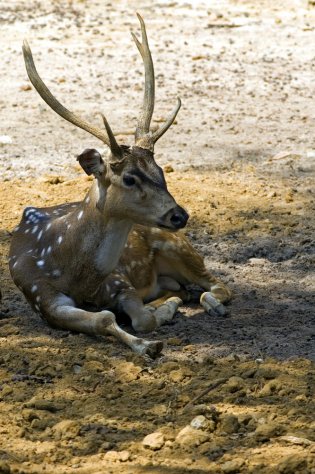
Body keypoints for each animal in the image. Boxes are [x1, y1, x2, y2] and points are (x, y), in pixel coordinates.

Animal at [9, 13, 232, 356]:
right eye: (128, 177)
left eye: (160, 170)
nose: (179, 214)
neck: (78, 277)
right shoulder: (42, 296)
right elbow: (103, 318)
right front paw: (148, 343)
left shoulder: (118, 279)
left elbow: (141, 319)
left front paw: (155, 326)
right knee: (184, 288)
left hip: (177, 245)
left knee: (217, 285)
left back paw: (206, 304)